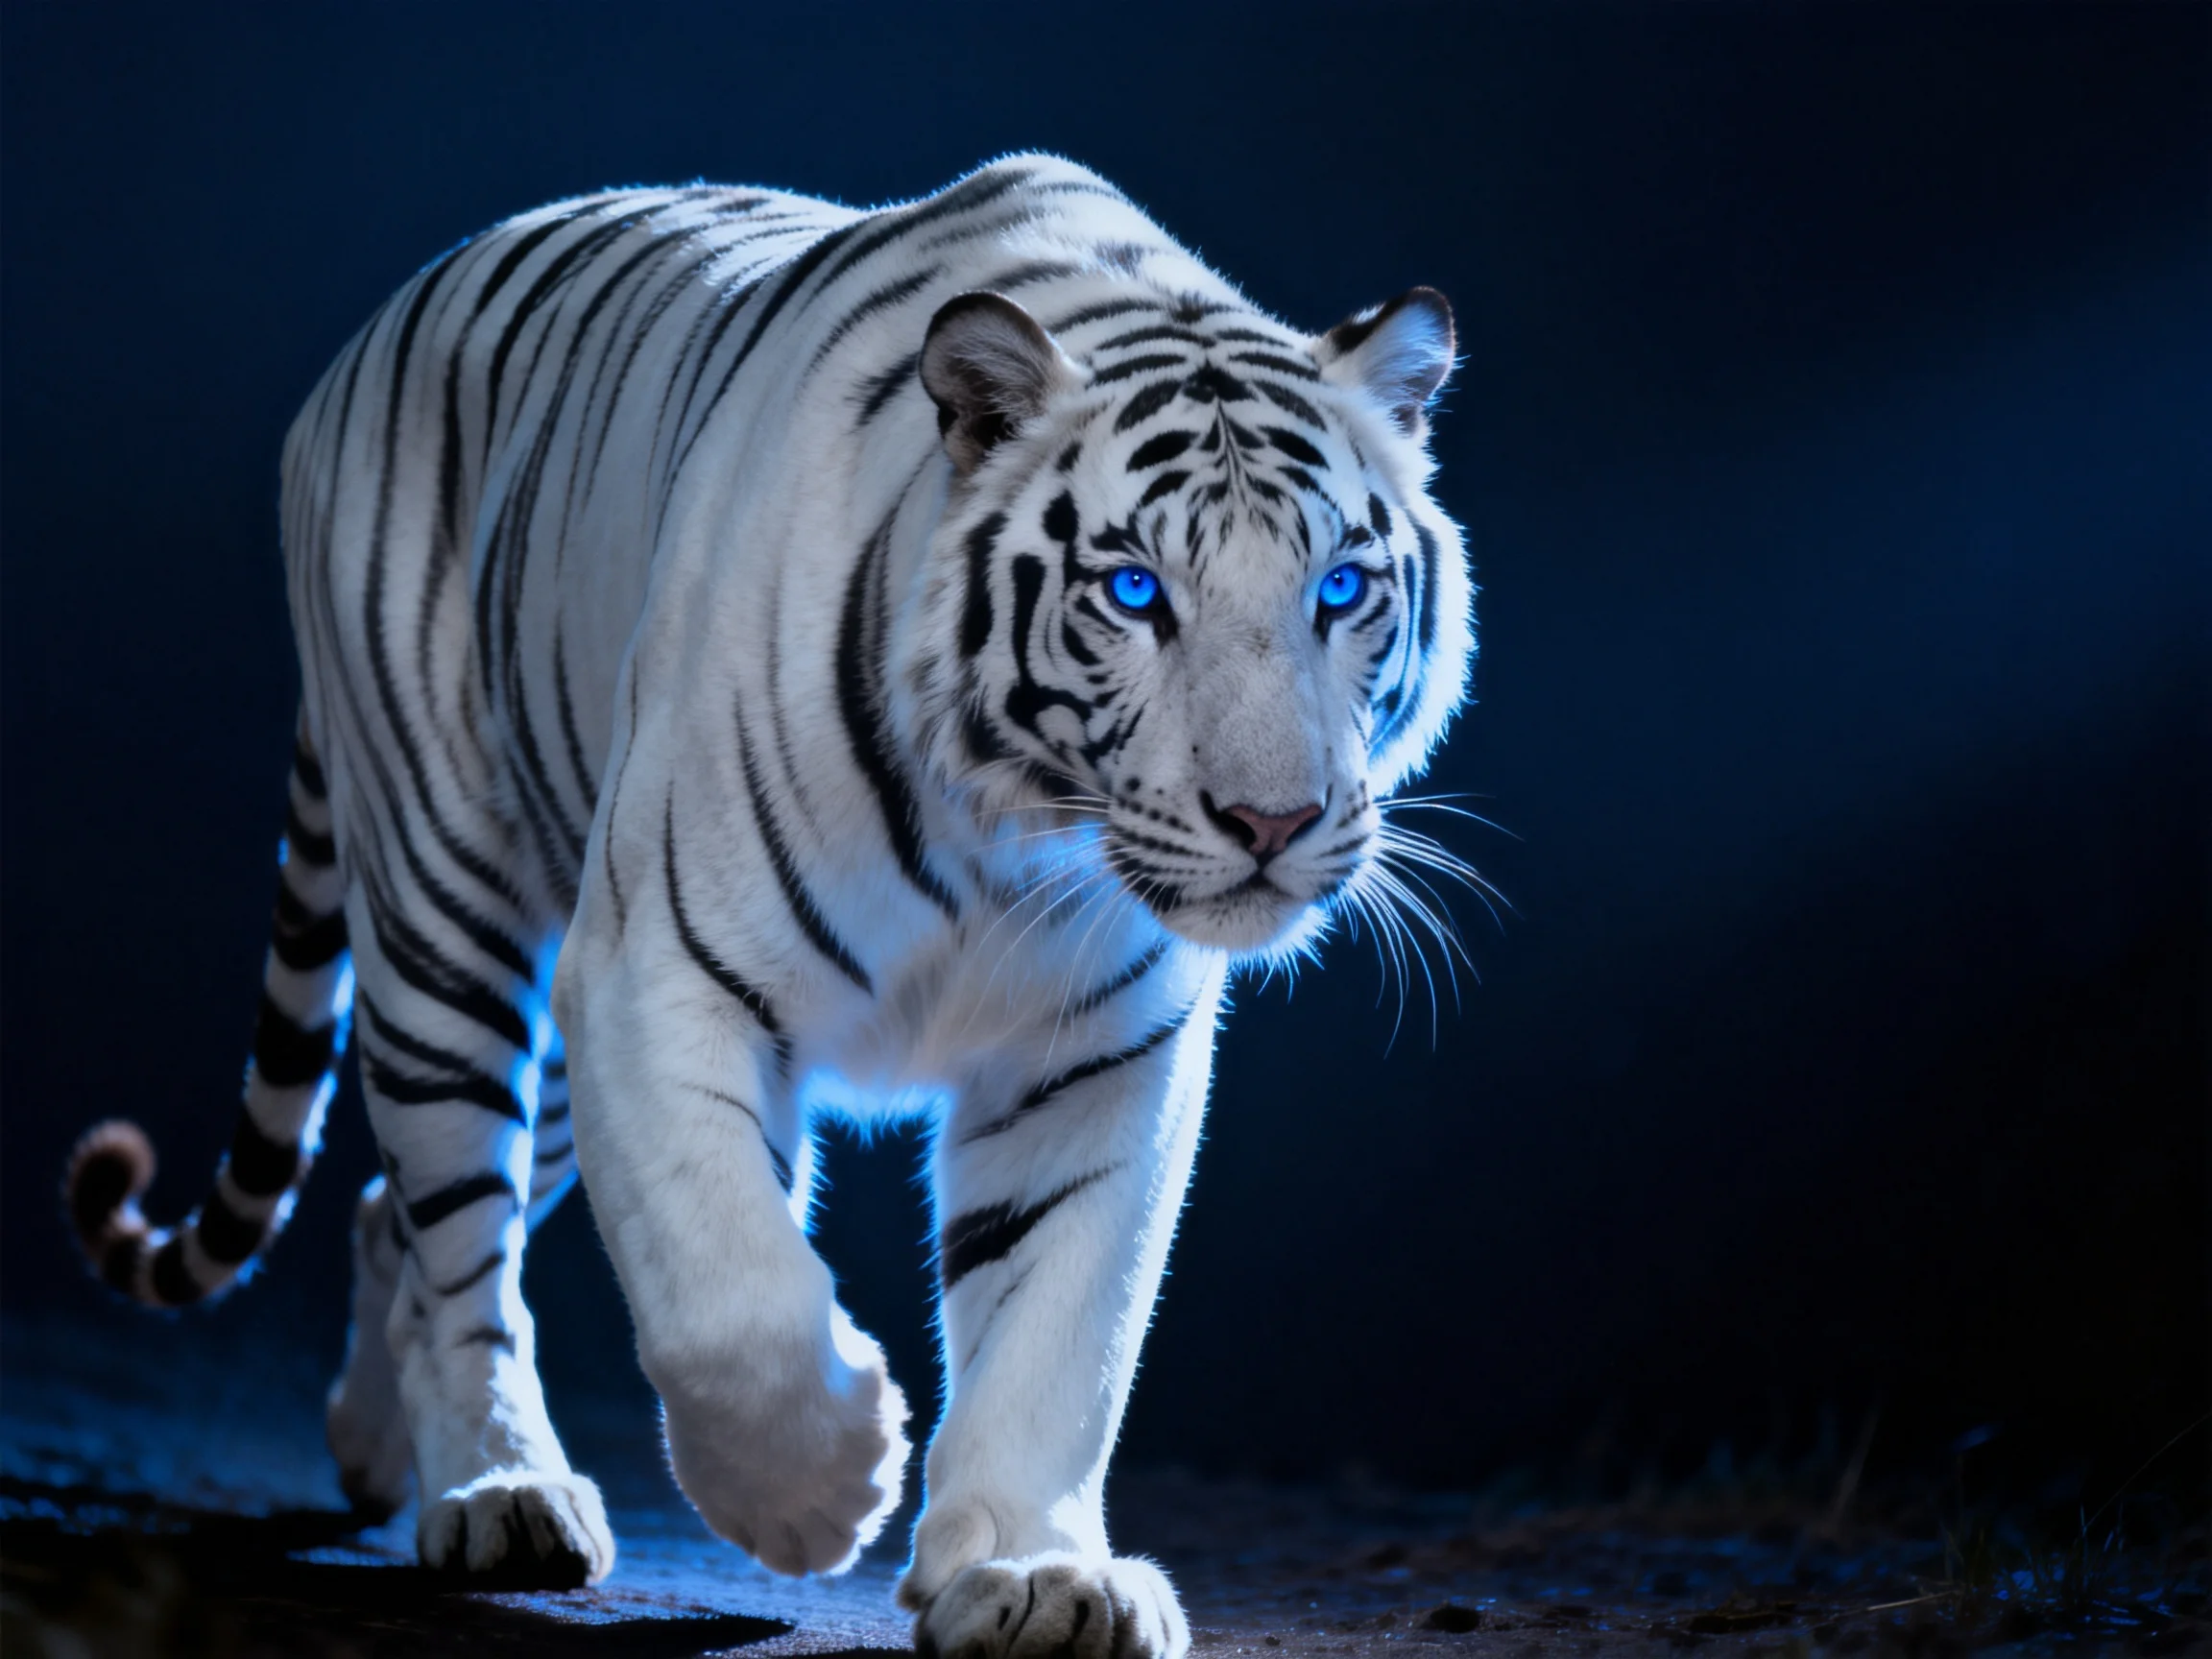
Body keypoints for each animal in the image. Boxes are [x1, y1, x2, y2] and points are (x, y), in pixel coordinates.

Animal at [63, 154, 1472, 1657]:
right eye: (1135, 590)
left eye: (1342, 588)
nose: (1273, 825)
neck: (1008, 843)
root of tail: (385, 320)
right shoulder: (653, 973)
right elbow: (724, 1292)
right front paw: (817, 1496)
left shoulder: (1094, 1058)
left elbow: (1061, 1323)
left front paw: (1034, 1574)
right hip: (448, 923)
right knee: (456, 1233)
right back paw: (497, 1489)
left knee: (403, 1210)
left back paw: (376, 1453)